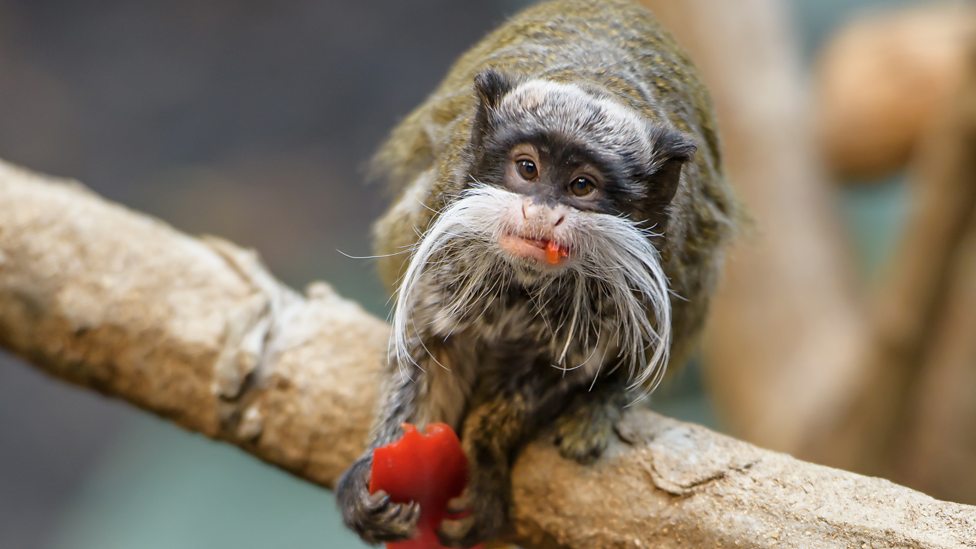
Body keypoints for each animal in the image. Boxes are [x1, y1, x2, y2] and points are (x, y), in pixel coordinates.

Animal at [336, 0, 735, 546]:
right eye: (528, 169)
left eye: (581, 185)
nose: (541, 212)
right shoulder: (443, 233)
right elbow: (427, 348)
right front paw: (372, 472)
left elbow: (553, 376)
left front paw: (483, 456)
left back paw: (601, 404)